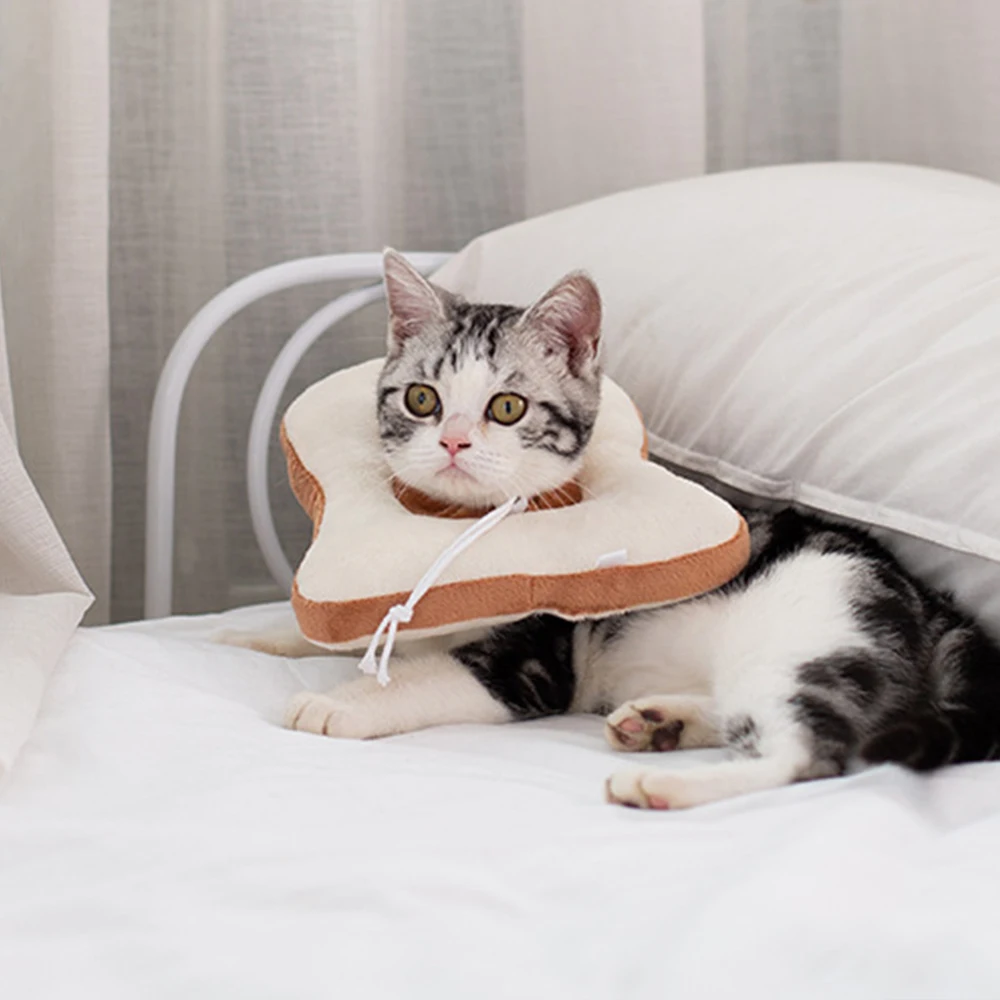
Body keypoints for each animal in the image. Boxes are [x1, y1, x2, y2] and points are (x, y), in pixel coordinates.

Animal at [279, 248, 1000, 810]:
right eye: (421, 399)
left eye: (507, 408)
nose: (453, 441)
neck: (453, 527)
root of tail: (928, 599)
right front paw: (270, 636)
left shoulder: (534, 664)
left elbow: (435, 675)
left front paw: (341, 703)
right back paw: (662, 722)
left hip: (809, 622)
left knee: (811, 752)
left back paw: (665, 783)